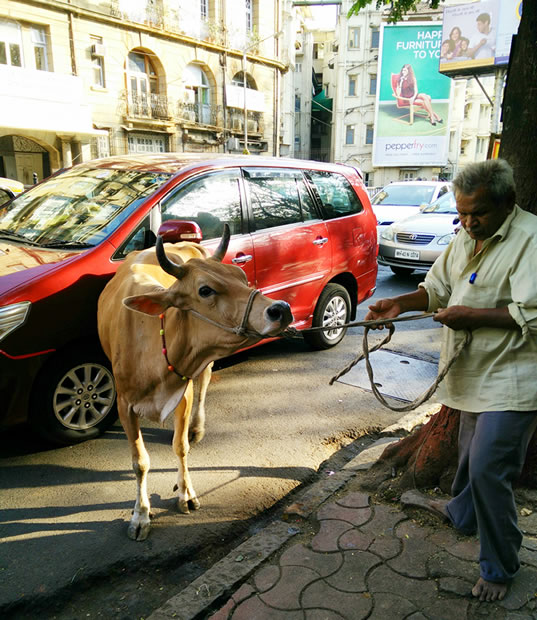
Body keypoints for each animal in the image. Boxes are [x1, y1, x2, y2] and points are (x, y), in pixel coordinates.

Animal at [98, 225, 292, 540]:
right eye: (205, 290)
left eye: (241, 276)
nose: (281, 309)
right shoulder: (124, 405)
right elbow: (140, 462)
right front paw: (141, 514)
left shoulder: (183, 392)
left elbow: (180, 446)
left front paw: (186, 493)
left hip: (201, 369)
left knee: (205, 379)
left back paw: (197, 426)